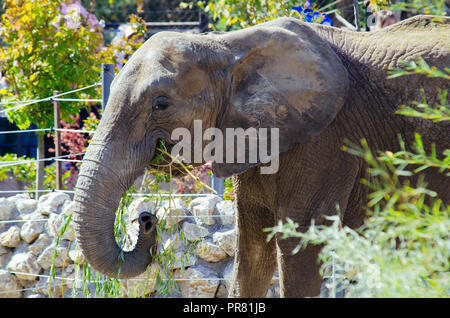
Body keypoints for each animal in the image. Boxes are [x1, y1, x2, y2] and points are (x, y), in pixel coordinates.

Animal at [72, 14, 448, 296]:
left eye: (161, 104)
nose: (146, 219)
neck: (228, 47)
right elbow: (250, 250)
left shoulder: (328, 140)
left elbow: (299, 247)